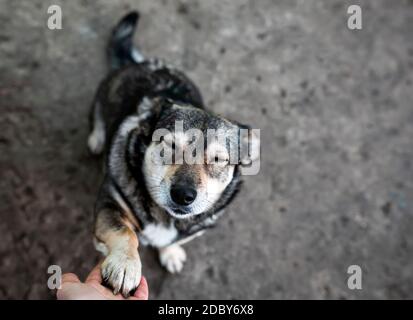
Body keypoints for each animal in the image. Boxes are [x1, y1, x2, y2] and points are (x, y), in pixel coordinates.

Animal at [89, 12, 260, 298]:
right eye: (169, 145)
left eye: (218, 160)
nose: (183, 195)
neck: (166, 217)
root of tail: (143, 62)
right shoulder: (110, 203)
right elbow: (124, 232)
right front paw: (125, 265)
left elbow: (175, 240)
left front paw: (170, 253)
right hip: (104, 94)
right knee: (98, 115)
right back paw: (97, 138)